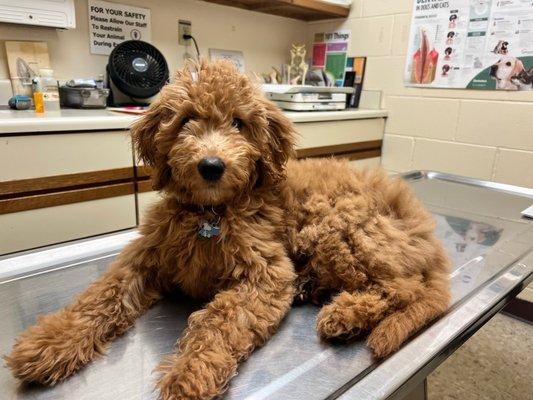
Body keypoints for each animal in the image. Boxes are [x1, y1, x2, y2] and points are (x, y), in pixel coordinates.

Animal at [7, 61, 448, 398]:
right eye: (186, 120)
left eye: (239, 123)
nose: (211, 166)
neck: (211, 213)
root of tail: (423, 229)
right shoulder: (143, 257)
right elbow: (100, 296)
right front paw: (49, 344)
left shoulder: (266, 274)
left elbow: (218, 322)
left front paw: (190, 375)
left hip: (339, 231)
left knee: (404, 289)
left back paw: (347, 314)